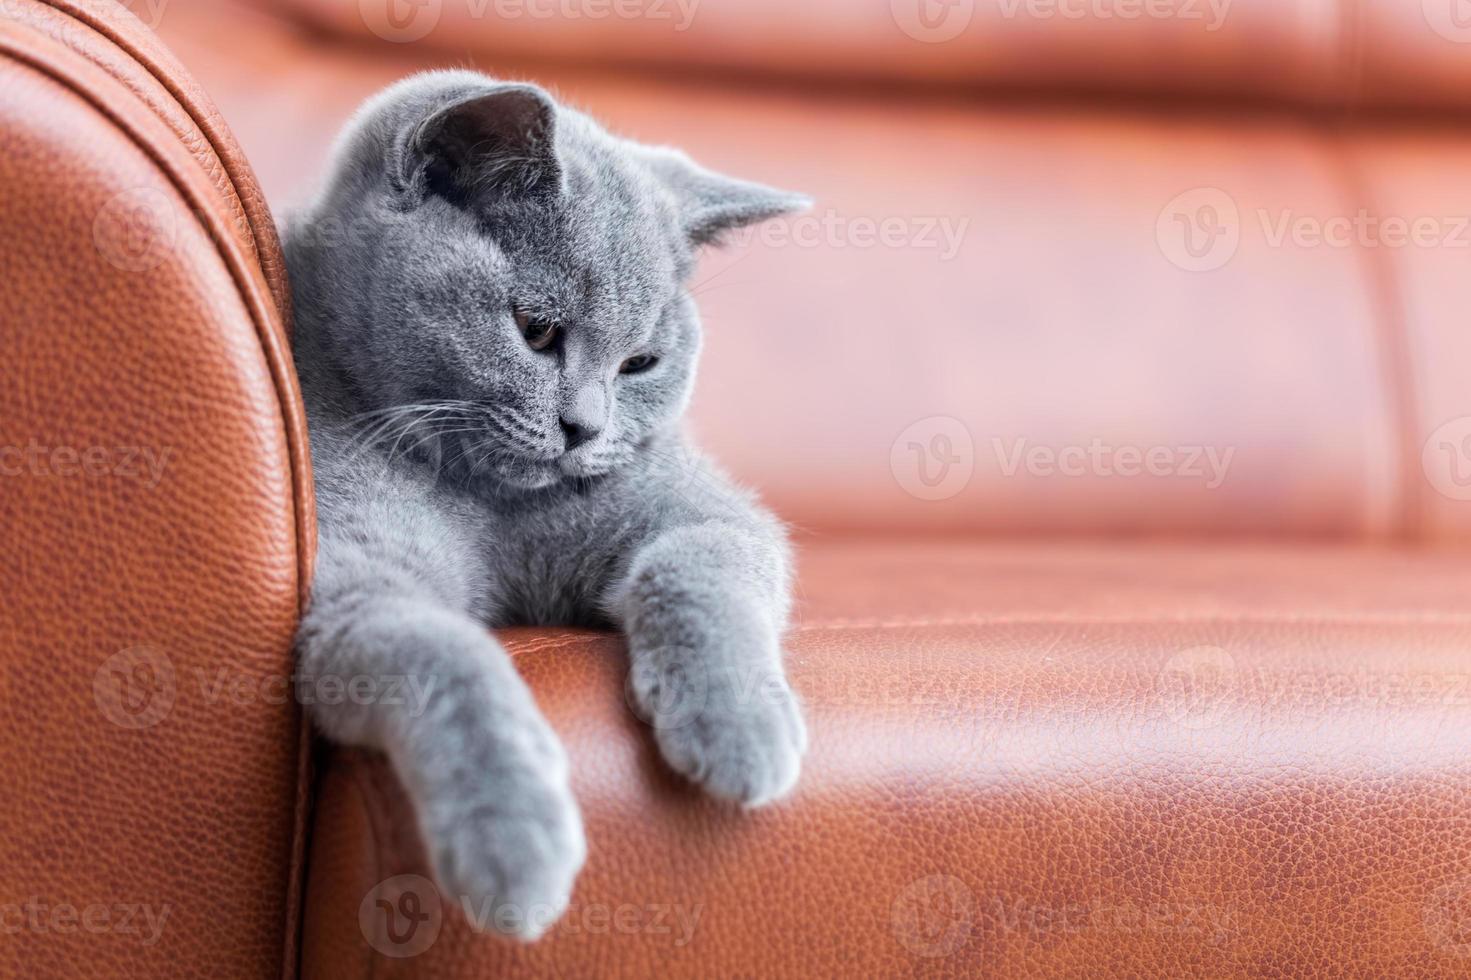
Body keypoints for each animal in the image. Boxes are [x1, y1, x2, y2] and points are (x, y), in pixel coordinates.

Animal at [285, 70, 811, 941]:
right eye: (535, 329)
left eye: (640, 363)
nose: (584, 427)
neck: (494, 505)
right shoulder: (352, 569)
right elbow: (442, 651)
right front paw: (513, 838)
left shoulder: (702, 508)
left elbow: (696, 566)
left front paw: (737, 728)